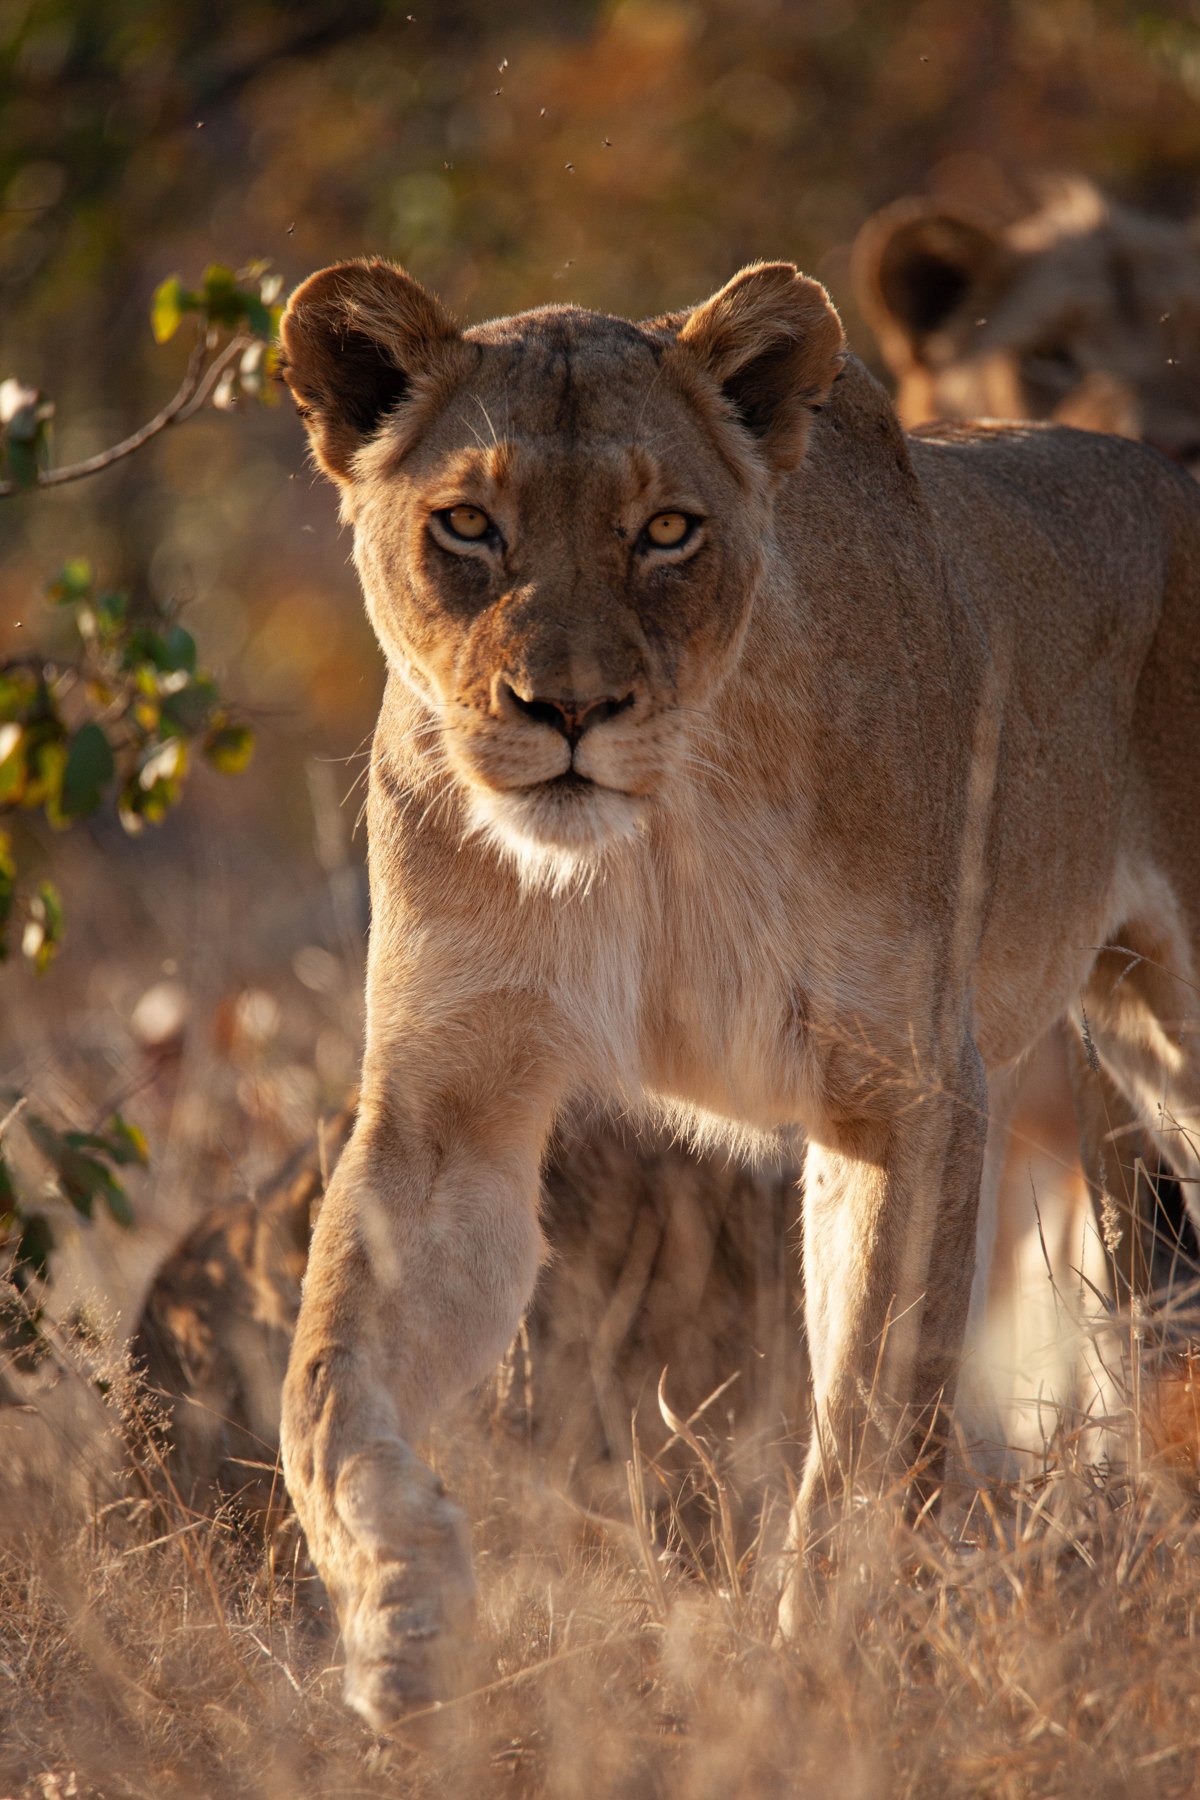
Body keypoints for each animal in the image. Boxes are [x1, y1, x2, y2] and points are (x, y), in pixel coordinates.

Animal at [270, 254, 1200, 1730]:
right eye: (468, 523)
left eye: (666, 531)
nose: (568, 710)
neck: (653, 827)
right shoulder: (447, 1110)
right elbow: (327, 1385)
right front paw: (400, 1617)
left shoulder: (909, 1092)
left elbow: (869, 1423)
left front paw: (822, 1676)